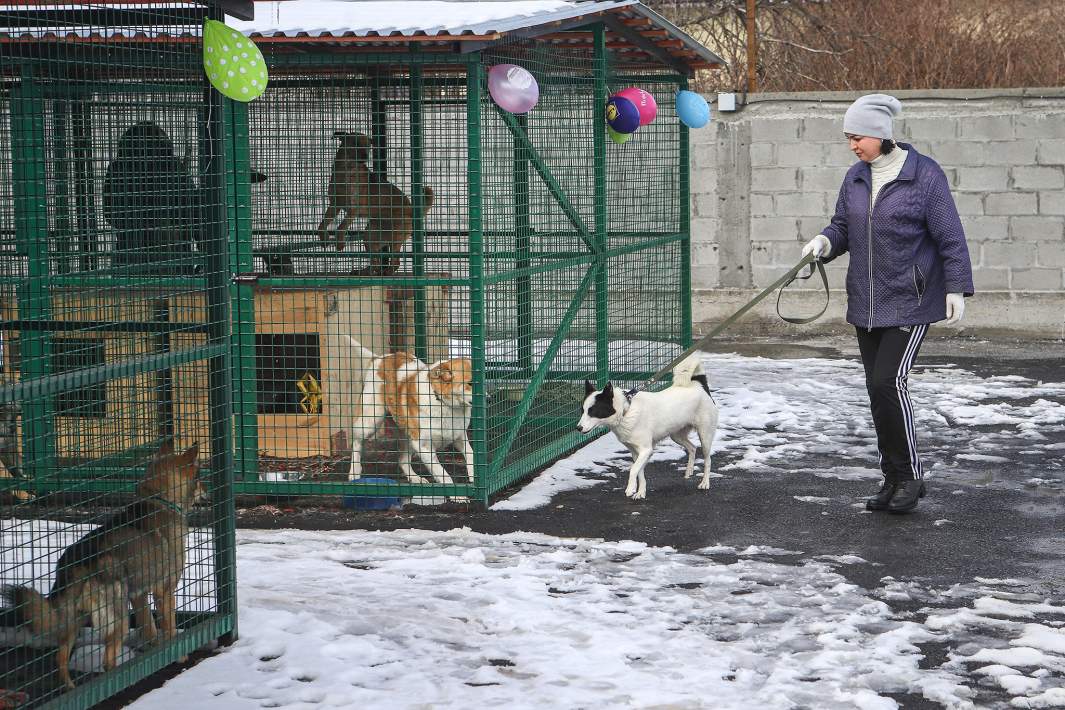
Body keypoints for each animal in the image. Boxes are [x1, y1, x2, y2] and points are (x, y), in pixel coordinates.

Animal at [5, 440, 206, 689]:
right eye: (199, 476)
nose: (207, 492)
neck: (161, 500)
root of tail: (79, 563)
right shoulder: (164, 590)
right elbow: (168, 630)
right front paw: (178, 656)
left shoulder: (139, 594)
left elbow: (149, 628)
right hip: (118, 617)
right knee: (107, 662)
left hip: (74, 620)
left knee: (60, 659)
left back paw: (73, 688)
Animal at [315, 130, 432, 274]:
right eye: (355, 143)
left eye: (368, 147)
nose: (366, 156)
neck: (346, 170)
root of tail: (411, 210)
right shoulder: (334, 204)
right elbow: (323, 223)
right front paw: (324, 238)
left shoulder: (354, 209)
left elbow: (341, 226)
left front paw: (340, 243)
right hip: (370, 235)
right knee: (375, 262)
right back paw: (365, 272)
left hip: (395, 237)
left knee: (395, 262)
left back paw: (387, 273)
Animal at [345, 338, 474, 489]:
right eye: (471, 383)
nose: (488, 398)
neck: (443, 403)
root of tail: (380, 359)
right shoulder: (423, 446)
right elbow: (444, 475)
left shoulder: (459, 437)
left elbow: (471, 454)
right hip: (370, 421)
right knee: (356, 443)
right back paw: (354, 472)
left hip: (407, 436)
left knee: (402, 461)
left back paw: (416, 478)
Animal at [579, 353, 719, 500]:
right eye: (582, 411)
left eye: (593, 411)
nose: (578, 428)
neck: (626, 411)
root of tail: (699, 386)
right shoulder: (636, 452)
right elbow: (639, 472)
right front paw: (641, 492)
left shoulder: (646, 450)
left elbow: (633, 469)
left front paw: (630, 488)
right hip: (676, 435)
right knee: (692, 448)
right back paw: (689, 471)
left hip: (705, 436)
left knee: (708, 460)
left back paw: (705, 483)